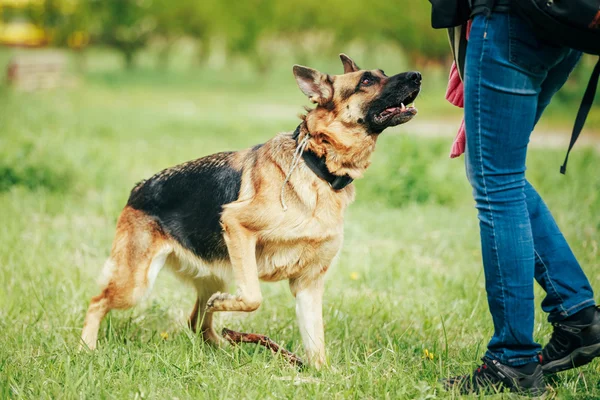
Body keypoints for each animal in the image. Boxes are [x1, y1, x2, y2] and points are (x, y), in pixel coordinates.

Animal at [81, 54, 422, 368]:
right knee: (97, 302)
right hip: (135, 285)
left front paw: (317, 376)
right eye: (367, 80)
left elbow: (317, 346)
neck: (317, 164)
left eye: (381, 72)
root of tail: (139, 188)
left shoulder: (308, 286)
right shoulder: (236, 225)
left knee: (198, 321)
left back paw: (229, 346)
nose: (417, 75)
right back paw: (87, 347)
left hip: (213, 277)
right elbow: (253, 297)